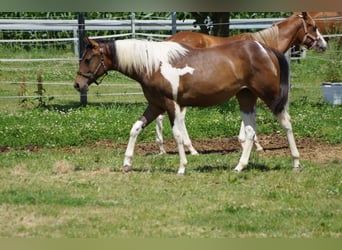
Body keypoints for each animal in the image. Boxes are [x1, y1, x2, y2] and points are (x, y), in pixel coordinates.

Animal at [73, 37, 300, 174]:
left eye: (88, 59)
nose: (77, 84)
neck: (153, 65)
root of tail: (266, 49)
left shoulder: (171, 105)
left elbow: (177, 135)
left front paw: (182, 167)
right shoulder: (155, 105)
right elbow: (135, 128)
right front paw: (127, 163)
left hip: (270, 97)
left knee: (286, 123)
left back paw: (296, 162)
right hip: (245, 97)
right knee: (251, 131)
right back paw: (239, 166)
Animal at [154, 13, 326, 156]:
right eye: (313, 26)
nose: (323, 45)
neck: (263, 46)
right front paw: (251, 144)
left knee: (161, 116)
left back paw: (162, 148)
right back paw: (191, 149)